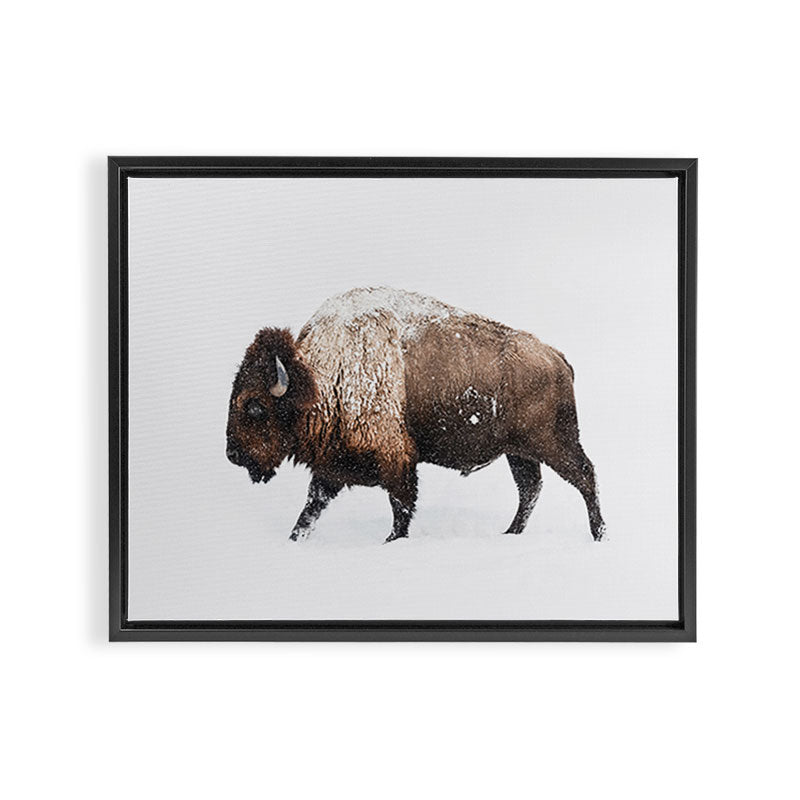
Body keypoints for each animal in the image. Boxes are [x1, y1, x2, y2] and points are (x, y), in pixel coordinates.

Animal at [226, 287, 604, 543]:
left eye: (255, 405)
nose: (233, 454)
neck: (320, 376)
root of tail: (556, 357)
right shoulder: (333, 465)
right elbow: (311, 508)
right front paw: (294, 540)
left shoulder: (395, 458)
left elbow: (401, 507)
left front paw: (392, 541)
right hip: (519, 452)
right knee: (530, 488)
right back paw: (510, 533)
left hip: (554, 443)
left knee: (584, 476)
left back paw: (598, 535)